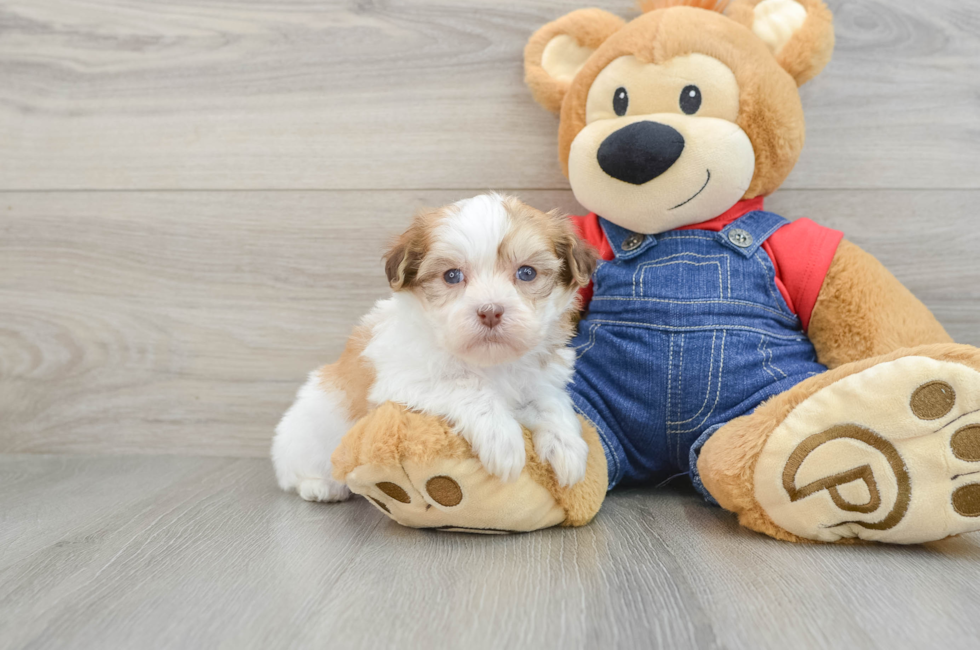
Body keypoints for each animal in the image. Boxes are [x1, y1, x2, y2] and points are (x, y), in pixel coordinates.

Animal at [272, 192, 600, 502]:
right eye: (451, 275)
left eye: (527, 273)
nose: (490, 311)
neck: (489, 363)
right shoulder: (403, 381)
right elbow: (467, 387)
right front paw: (502, 438)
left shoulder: (541, 380)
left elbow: (550, 404)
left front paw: (567, 446)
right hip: (303, 437)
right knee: (294, 473)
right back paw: (321, 486)